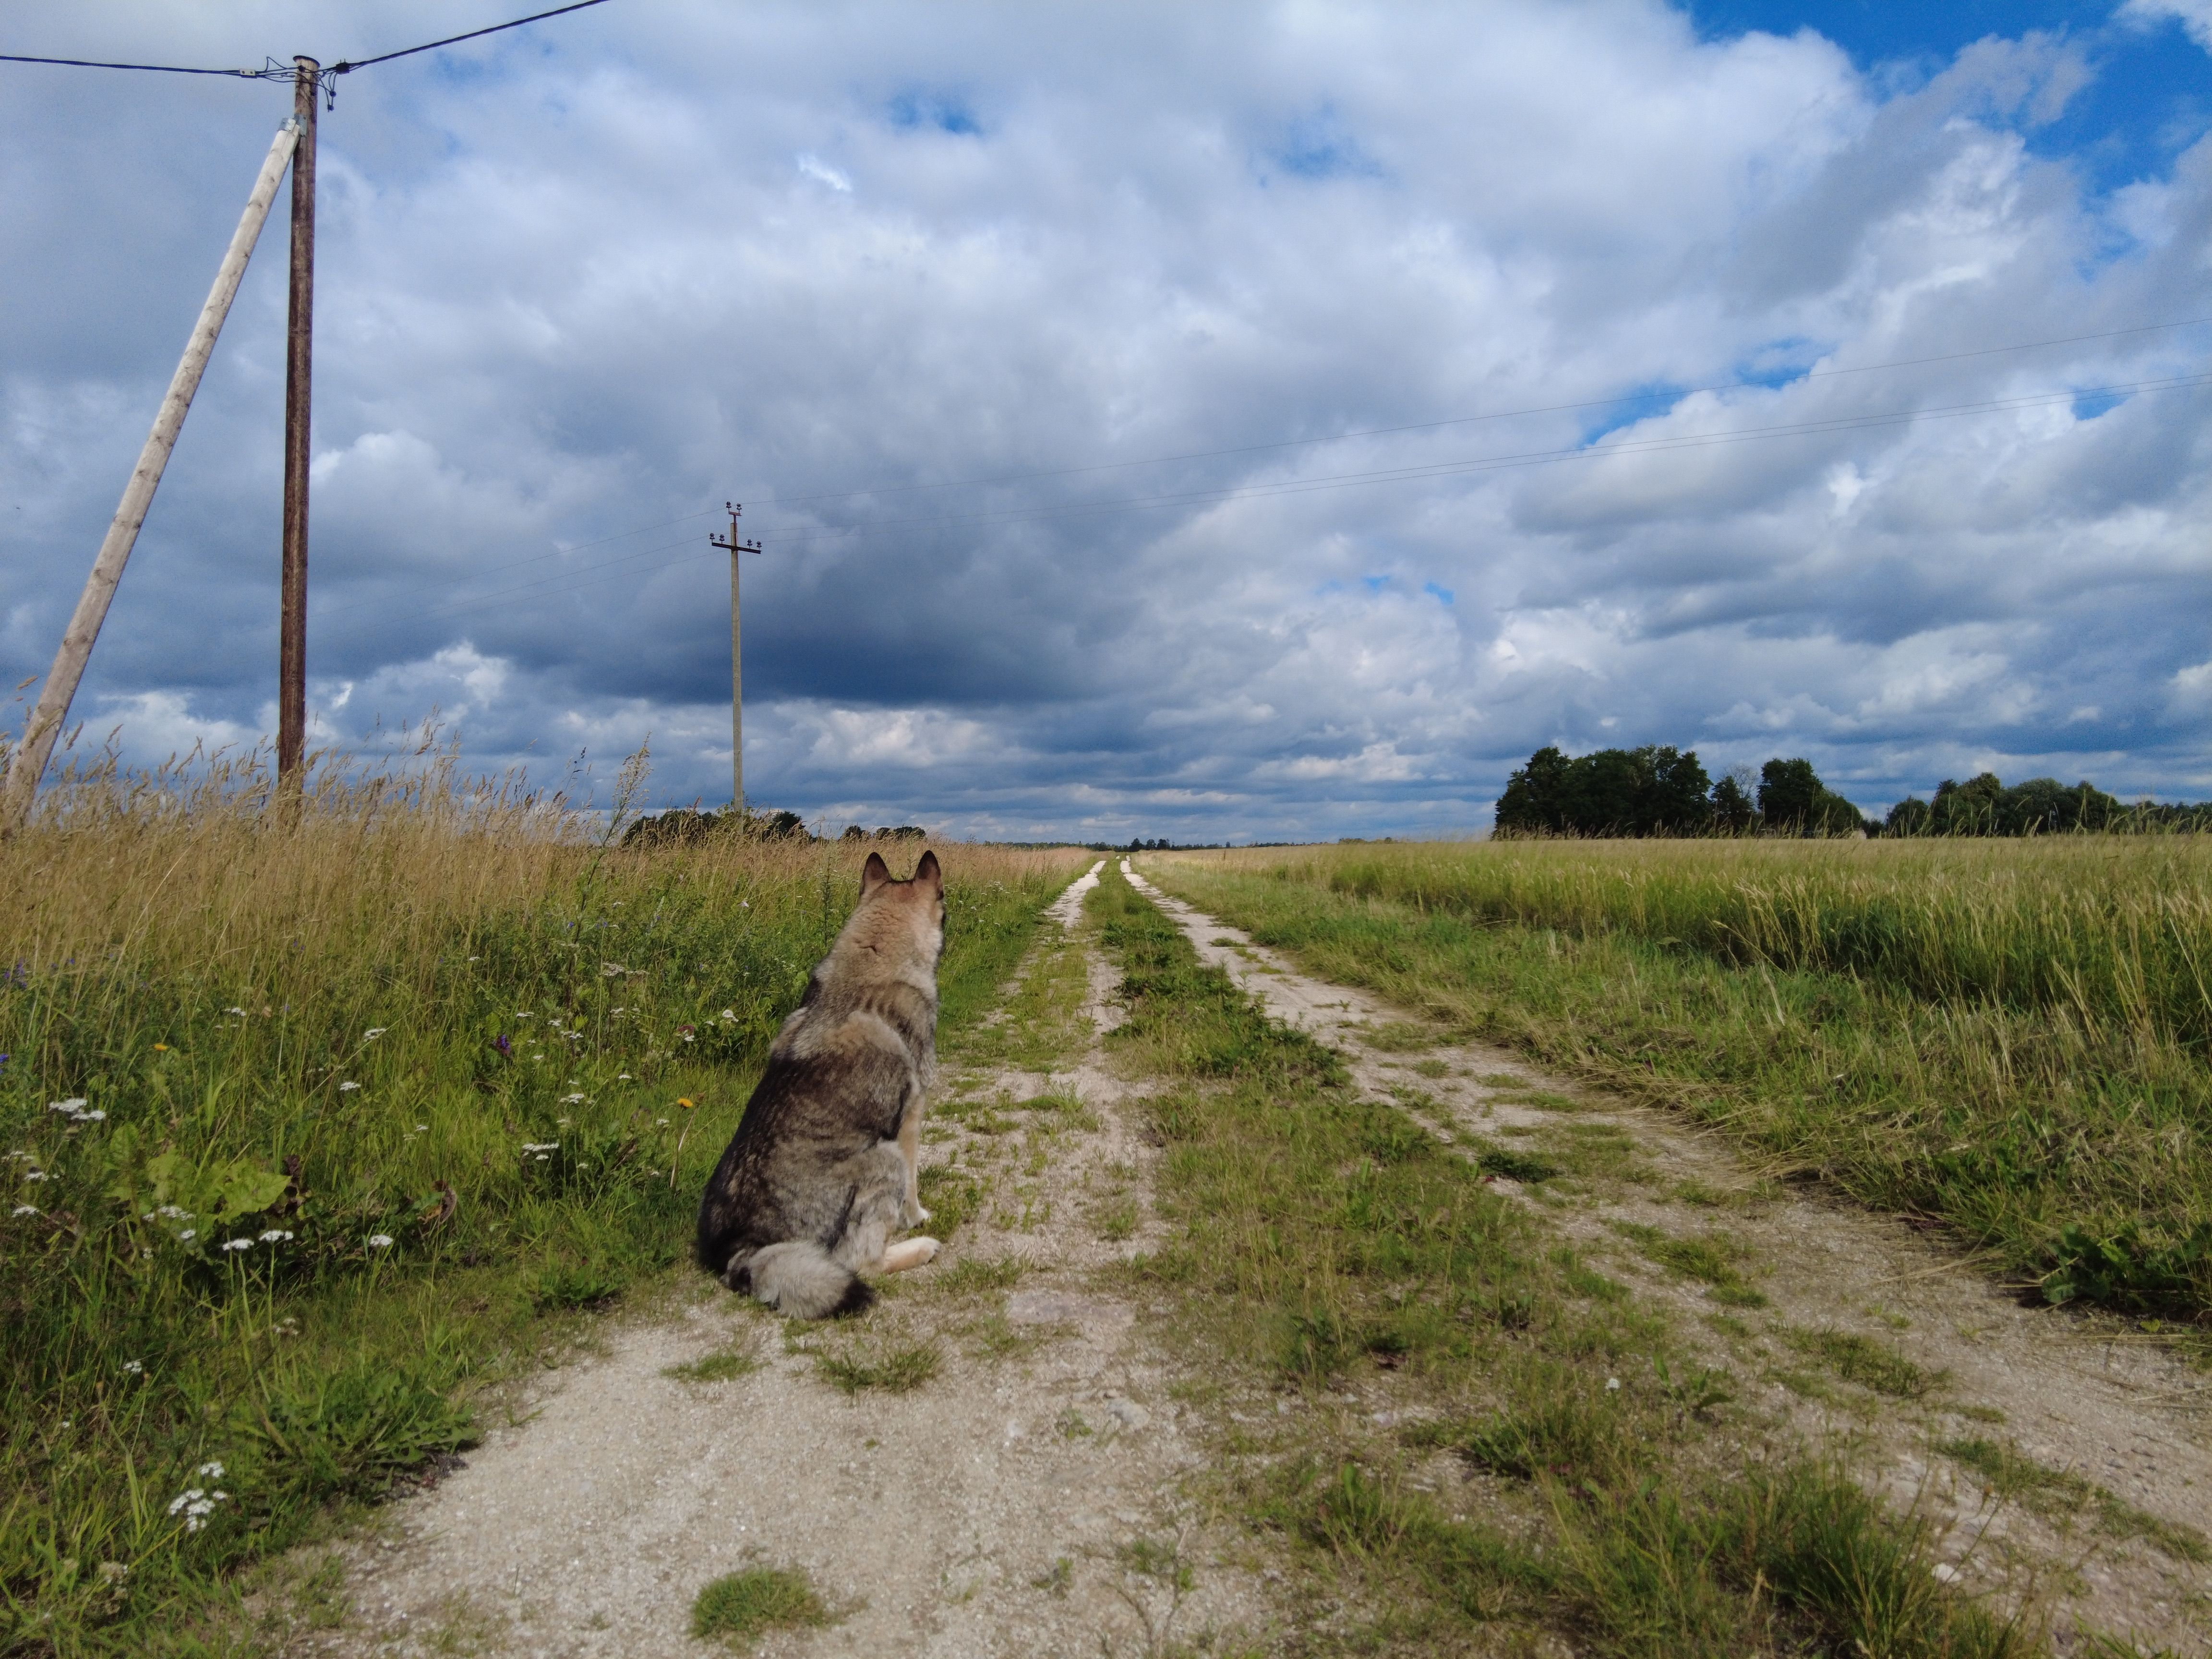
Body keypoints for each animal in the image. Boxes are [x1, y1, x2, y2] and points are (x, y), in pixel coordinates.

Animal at [694, 849, 947, 1318]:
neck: (873, 961)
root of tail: (745, 1247)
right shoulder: (910, 1118)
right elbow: (913, 1189)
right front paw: (917, 1218)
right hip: (884, 1158)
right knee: (862, 1263)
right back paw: (920, 1248)